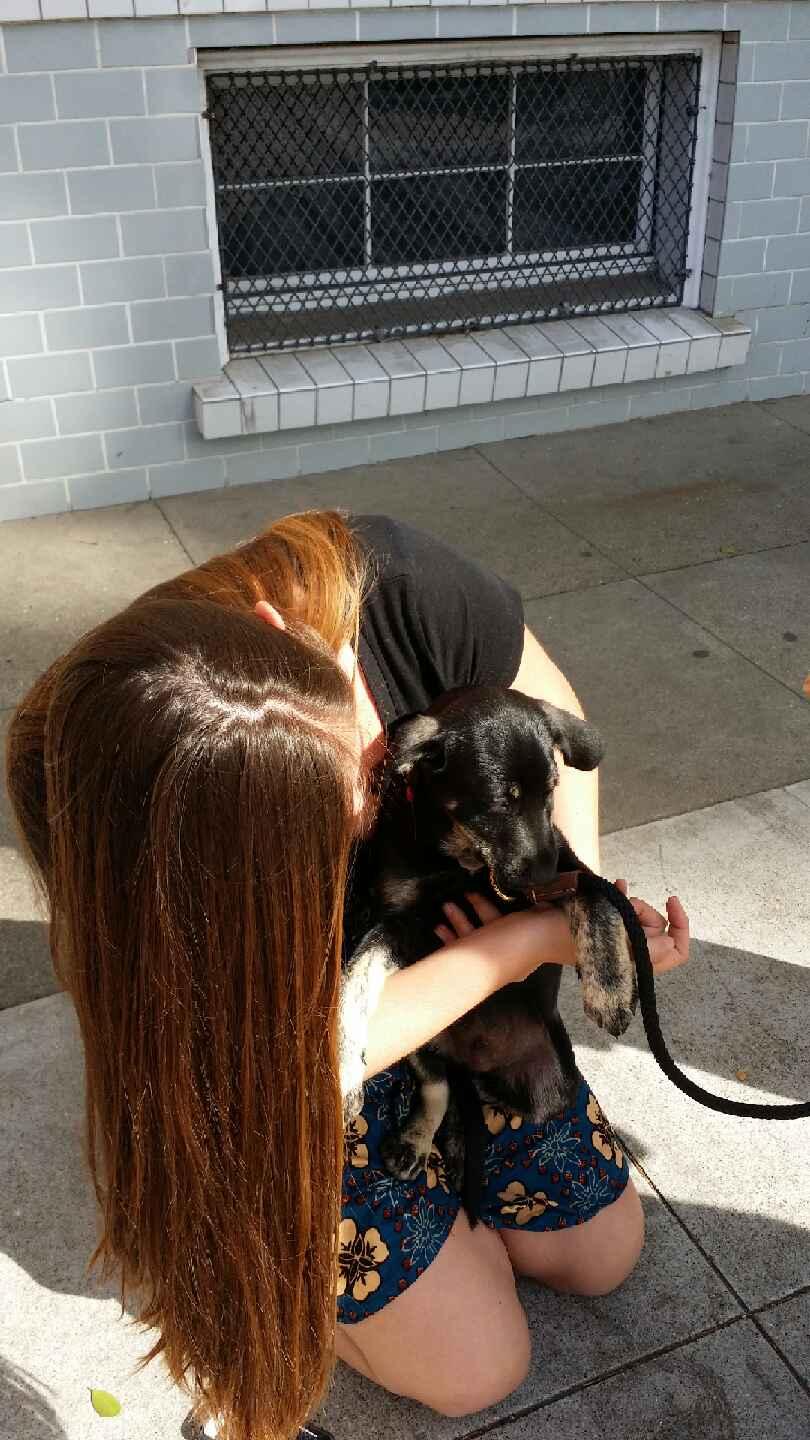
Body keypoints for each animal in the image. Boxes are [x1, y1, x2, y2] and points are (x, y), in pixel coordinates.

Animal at [342, 685, 637, 1203]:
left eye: (551, 792)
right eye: (501, 801)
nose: (543, 878)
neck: (460, 862)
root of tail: (471, 1061)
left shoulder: (571, 869)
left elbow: (599, 905)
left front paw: (611, 992)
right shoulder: (403, 922)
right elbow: (358, 974)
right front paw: (343, 1064)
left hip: (553, 1084)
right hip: (426, 1043)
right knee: (439, 1086)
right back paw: (423, 1140)